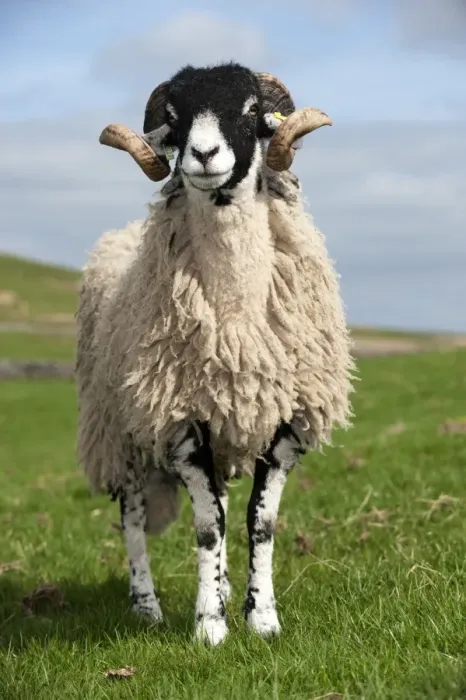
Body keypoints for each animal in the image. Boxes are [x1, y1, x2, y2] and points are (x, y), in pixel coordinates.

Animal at [75, 61, 355, 646]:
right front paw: (210, 626)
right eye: (175, 116)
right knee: (133, 516)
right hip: (119, 428)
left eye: (250, 110)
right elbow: (208, 527)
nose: (203, 155)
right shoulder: (182, 421)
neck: (236, 316)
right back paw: (146, 605)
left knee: (221, 501)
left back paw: (223, 586)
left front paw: (261, 618)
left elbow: (258, 522)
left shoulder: (285, 422)